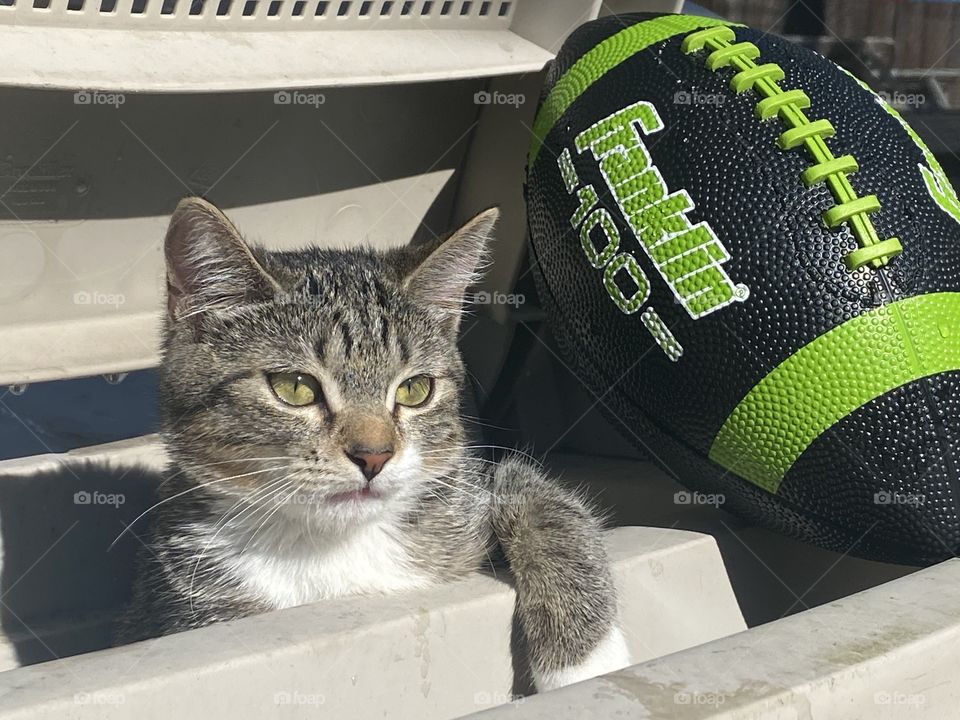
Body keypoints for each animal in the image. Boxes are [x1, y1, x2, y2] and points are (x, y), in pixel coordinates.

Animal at [116, 197, 632, 692]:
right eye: (294, 387)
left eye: (415, 389)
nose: (374, 455)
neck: (330, 547)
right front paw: (590, 664)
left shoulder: (470, 486)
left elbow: (539, 498)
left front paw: (588, 661)